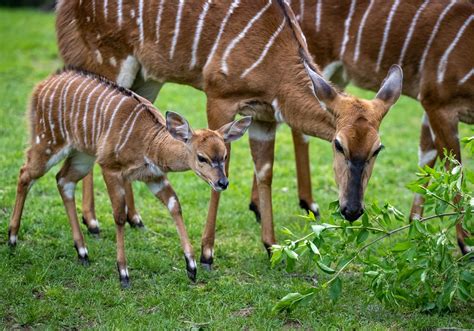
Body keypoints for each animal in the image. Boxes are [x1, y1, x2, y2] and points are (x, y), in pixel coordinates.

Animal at [8, 69, 252, 288]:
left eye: (224, 155)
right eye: (202, 157)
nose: (222, 183)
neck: (150, 143)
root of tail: (41, 86)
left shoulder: (153, 176)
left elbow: (174, 205)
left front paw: (191, 267)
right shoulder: (110, 167)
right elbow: (119, 216)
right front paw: (124, 274)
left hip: (82, 155)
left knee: (63, 180)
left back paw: (83, 253)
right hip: (48, 142)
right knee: (25, 173)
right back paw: (12, 240)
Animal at [55, 0, 402, 268]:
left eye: (377, 149)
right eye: (338, 145)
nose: (352, 210)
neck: (276, 60)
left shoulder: (263, 117)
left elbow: (265, 172)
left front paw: (271, 245)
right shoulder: (219, 98)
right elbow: (221, 172)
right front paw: (207, 253)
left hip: (147, 78)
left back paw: (134, 218)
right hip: (108, 62)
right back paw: (92, 222)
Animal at [290, 0, 472, 254]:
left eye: (378, 149)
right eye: (339, 146)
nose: (352, 211)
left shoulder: (429, 106)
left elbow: (427, 157)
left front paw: (415, 228)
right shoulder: (437, 101)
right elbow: (454, 169)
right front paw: (466, 245)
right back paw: (308, 205)